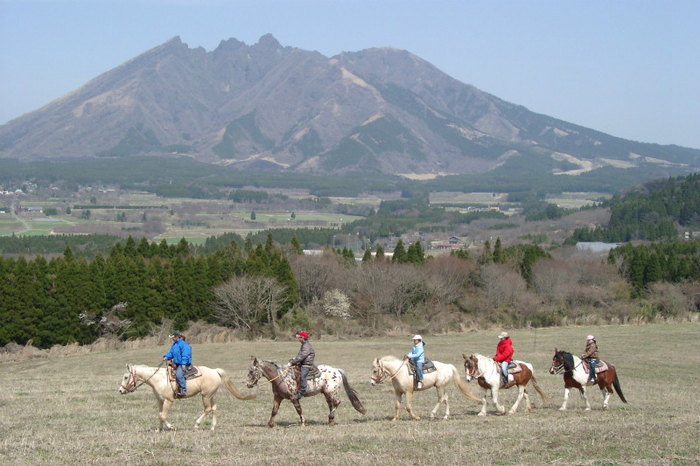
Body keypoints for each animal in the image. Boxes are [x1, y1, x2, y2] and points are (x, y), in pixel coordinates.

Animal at [117, 362, 254, 432]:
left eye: (126, 377)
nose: (120, 390)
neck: (159, 379)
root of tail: (215, 371)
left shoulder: (169, 400)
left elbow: (163, 416)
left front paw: (171, 427)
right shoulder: (160, 401)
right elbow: (160, 415)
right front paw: (159, 429)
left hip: (205, 396)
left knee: (208, 409)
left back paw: (196, 425)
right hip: (210, 395)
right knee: (214, 408)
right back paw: (212, 427)